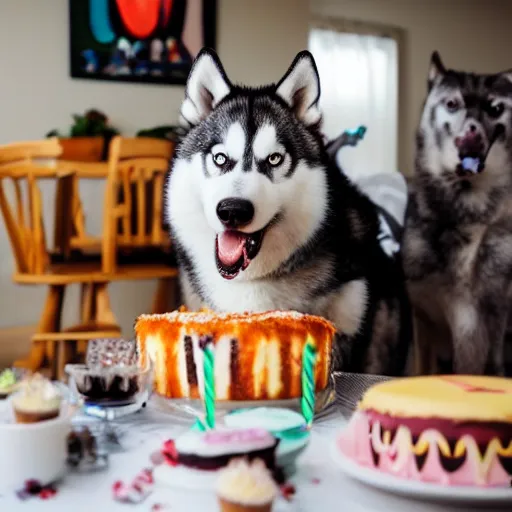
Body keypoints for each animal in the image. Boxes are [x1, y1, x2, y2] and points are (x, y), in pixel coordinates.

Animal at [402, 52, 512, 376]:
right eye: (452, 104)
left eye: (495, 108)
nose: (473, 129)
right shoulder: (422, 315)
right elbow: (421, 368)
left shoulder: (474, 320)